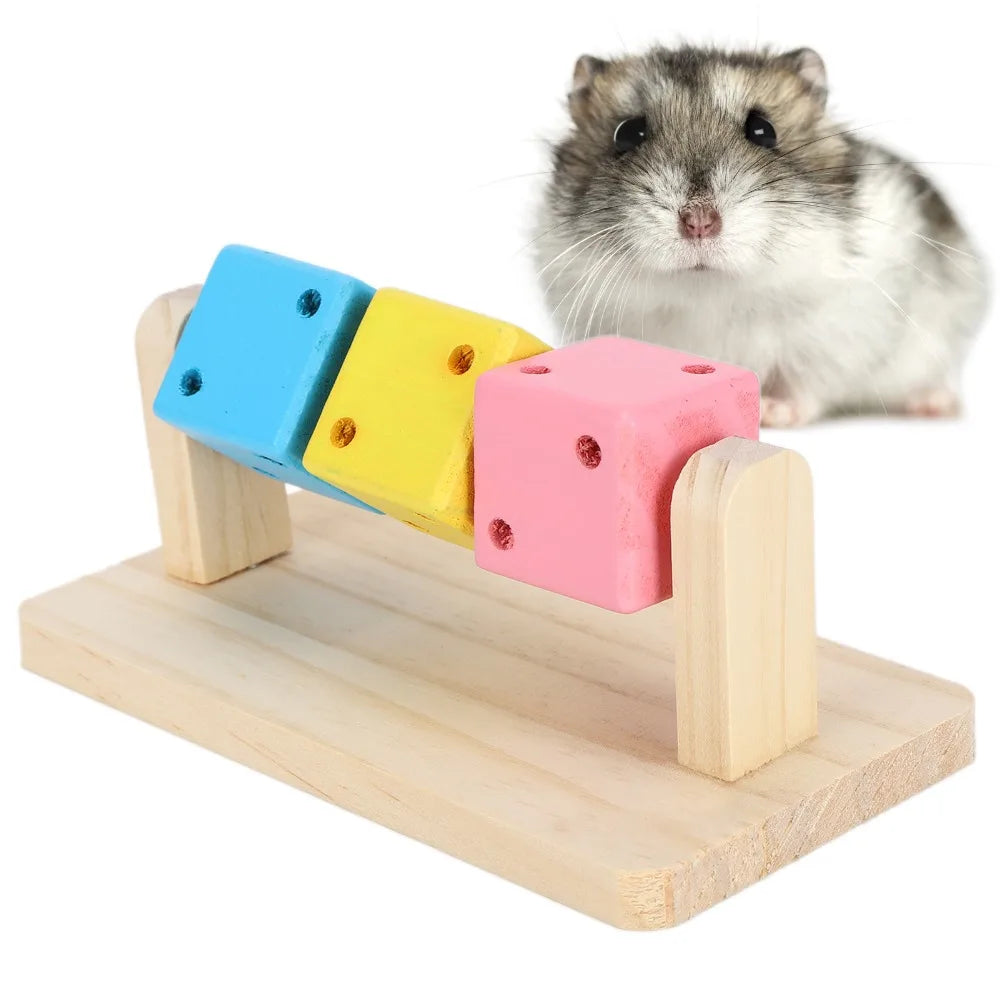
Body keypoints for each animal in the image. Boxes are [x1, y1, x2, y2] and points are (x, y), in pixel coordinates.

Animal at [534, 46, 988, 426]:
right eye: (627, 134)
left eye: (763, 130)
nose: (699, 222)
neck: (709, 292)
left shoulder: (837, 334)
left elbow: (804, 382)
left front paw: (771, 412)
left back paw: (935, 405)